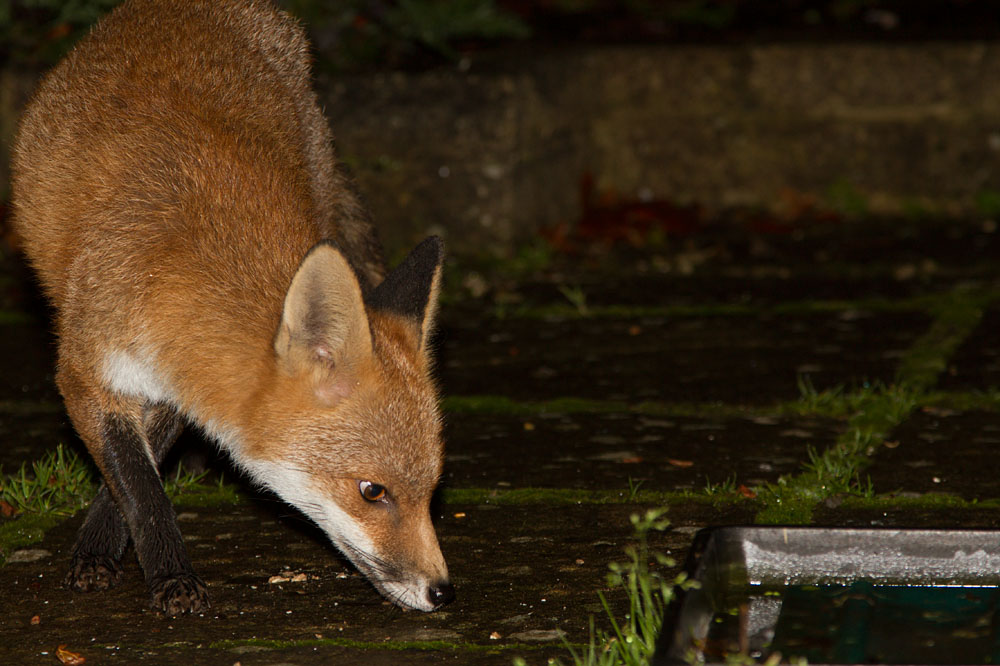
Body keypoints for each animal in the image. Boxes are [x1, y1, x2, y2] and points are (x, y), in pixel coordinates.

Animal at [10, 0, 454, 615]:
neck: (173, 269)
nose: (442, 591)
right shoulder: (86, 369)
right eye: (372, 491)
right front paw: (159, 571)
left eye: (432, 491)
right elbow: (138, 484)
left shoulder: (178, 383)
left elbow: (145, 458)